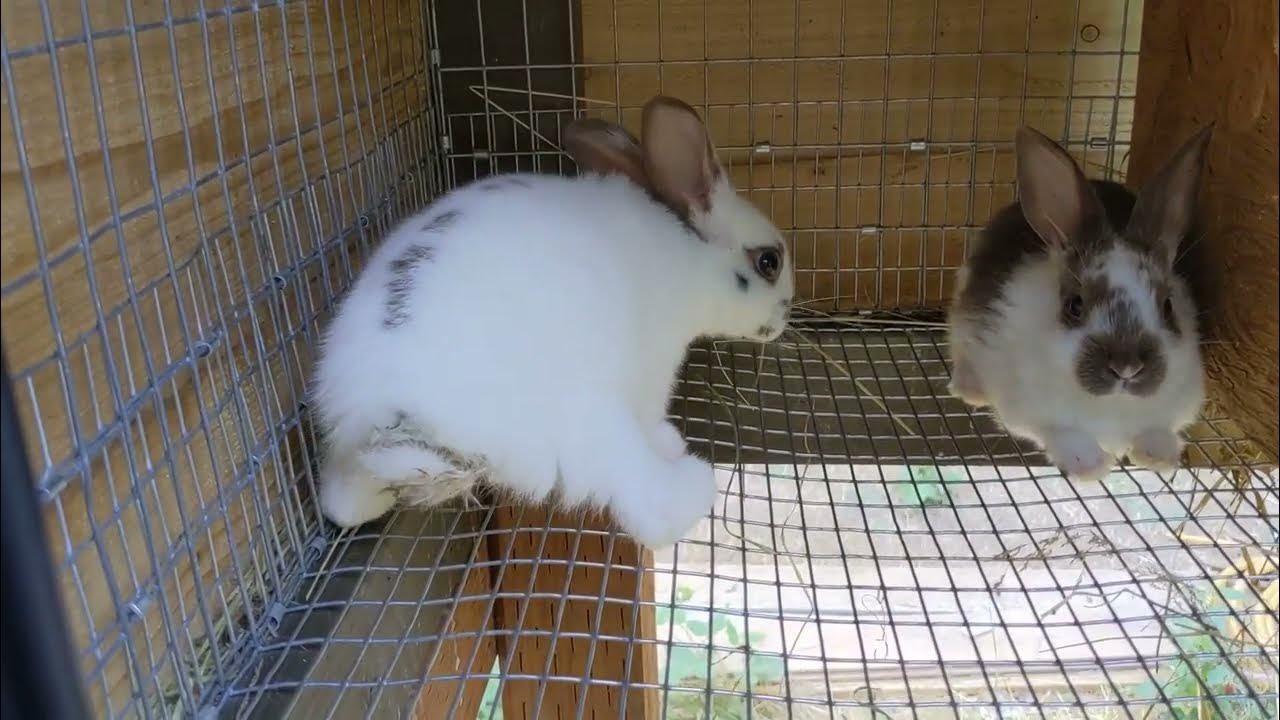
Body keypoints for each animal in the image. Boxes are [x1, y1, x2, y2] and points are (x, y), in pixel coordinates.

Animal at [310, 96, 795, 548]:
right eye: (768, 262)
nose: (786, 313)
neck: (688, 260)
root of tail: (395, 414)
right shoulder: (652, 374)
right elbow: (651, 423)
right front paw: (667, 440)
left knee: (341, 501)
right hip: (593, 422)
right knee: (649, 507)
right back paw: (693, 480)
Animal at [947, 124, 1213, 482]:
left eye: (1168, 305)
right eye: (1075, 305)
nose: (1127, 368)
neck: (1113, 406)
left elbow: (1156, 429)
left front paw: (1159, 458)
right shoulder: (1036, 411)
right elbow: (1067, 434)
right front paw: (1091, 467)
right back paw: (971, 390)